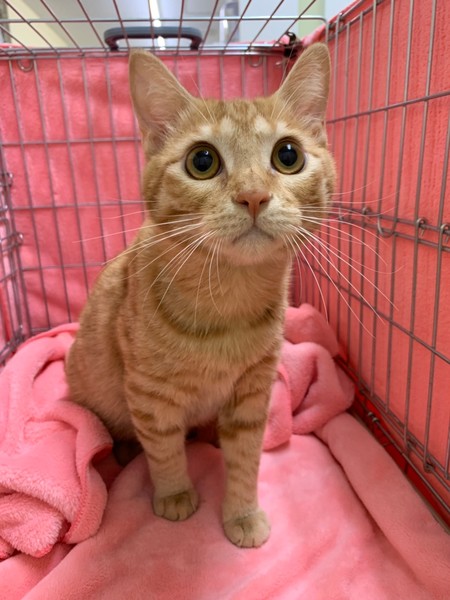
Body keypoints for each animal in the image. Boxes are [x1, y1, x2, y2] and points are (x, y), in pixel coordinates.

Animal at [65, 43, 335, 548]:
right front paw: (174, 494)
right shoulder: (149, 395)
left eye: (288, 155)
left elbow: (246, 458)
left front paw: (242, 512)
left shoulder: (253, 393)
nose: (254, 196)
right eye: (202, 161)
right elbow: (164, 449)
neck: (229, 297)